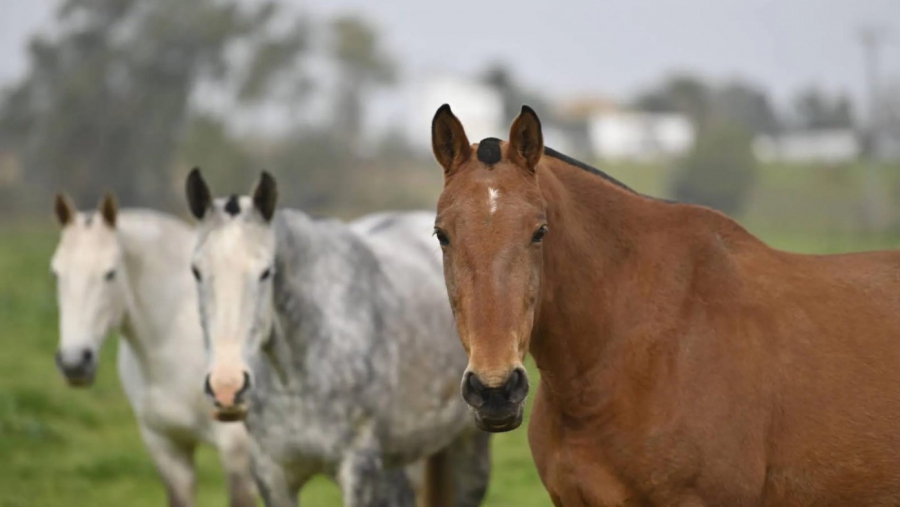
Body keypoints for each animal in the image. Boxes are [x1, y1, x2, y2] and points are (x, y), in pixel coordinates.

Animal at [185, 171, 492, 507]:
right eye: (196, 271)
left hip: (467, 449)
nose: (226, 387)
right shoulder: (272, 474)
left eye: (266, 272)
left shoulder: (358, 468)